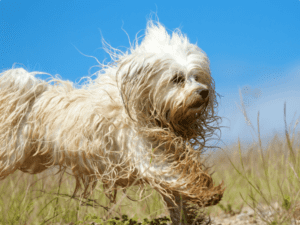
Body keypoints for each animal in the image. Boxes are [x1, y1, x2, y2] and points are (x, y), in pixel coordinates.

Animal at [0, 20, 224, 223]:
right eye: (177, 79)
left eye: (197, 77)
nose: (203, 92)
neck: (149, 110)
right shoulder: (145, 154)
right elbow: (176, 177)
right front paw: (209, 193)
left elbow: (176, 198)